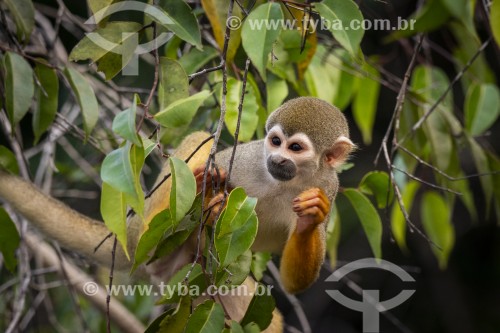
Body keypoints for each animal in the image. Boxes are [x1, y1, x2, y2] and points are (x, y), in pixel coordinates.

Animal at [0, 96, 354, 330]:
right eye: (276, 141)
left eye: (295, 148)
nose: (277, 159)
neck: (285, 181)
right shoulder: (250, 157)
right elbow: (217, 154)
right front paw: (209, 192)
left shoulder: (328, 185)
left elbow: (296, 282)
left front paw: (311, 216)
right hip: (153, 240)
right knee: (201, 143)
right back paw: (196, 187)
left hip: (192, 278)